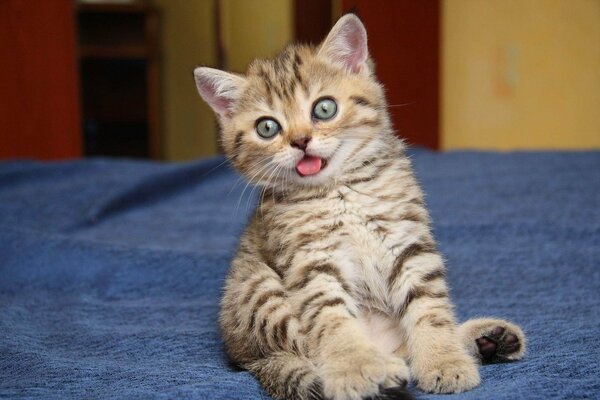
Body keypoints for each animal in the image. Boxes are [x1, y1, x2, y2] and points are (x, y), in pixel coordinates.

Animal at [193, 13, 524, 400]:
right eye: (267, 127)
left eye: (324, 108)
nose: (300, 141)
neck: (340, 189)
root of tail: (247, 359)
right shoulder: (311, 261)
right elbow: (331, 318)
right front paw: (356, 366)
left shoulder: (407, 242)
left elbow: (428, 305)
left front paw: (443, 359)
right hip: (256, 287)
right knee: (305, 350)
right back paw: (383, 372)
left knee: (402, 346)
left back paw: (485, 340)